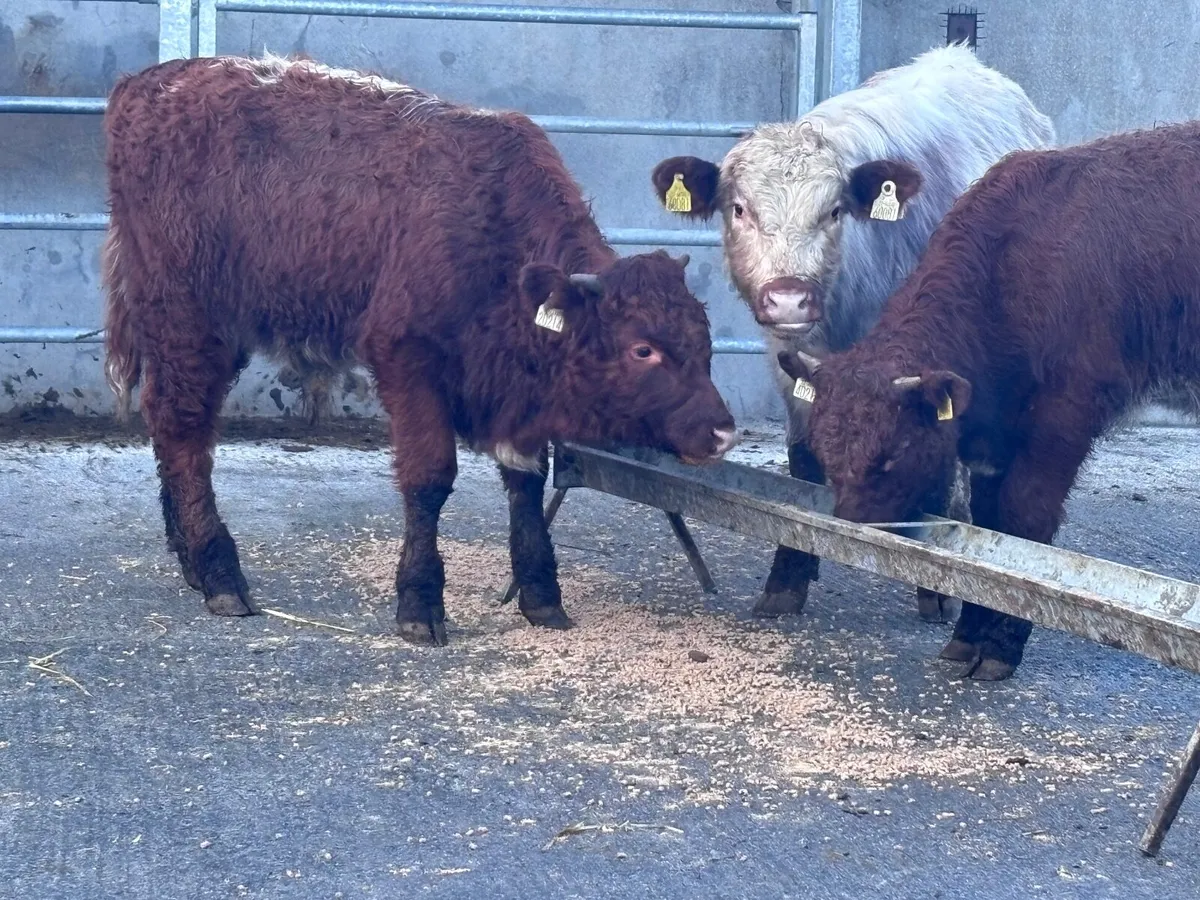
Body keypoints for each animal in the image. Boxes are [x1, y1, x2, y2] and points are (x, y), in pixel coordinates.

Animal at [102, 54, 738, 646]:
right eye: (642, 350)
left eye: (705, 341)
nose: (723, 431)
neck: (494, 230)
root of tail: (150, 81)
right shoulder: (407, 359)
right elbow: (430, 477)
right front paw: (420, 601)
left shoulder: (518, 391)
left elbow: (526, 482)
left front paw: (541, 593)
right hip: (187, 317)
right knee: (184, 427)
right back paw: (219, 573)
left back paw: (188, 556)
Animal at [651, 45, 1055, 624]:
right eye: (740, 209)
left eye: (835, 210)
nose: (790, 297)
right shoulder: (791, 365)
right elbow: (802, 466)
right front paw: (789, 575)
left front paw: (935, 580)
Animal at [786, 119, 1200, 681]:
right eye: (826, 456)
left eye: (892, 457)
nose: (849, 534)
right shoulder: (992, 445)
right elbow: (988, 531)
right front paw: (970, 634)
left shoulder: (1063, 418)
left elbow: (1023, 523)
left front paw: (1001, 645)